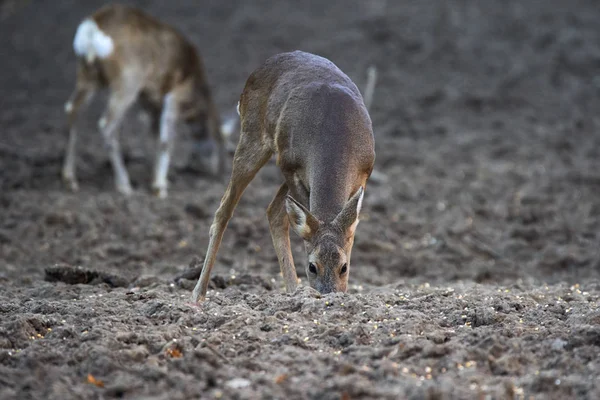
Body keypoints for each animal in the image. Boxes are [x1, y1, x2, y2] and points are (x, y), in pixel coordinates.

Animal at [62, 3, 227, 197]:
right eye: (221, 145)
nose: (219, 172)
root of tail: (92, 30)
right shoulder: (175, 94)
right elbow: (166, 140)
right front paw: (160, 187)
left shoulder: (151, 101)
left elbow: (154, 135)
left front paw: (158, 179)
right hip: (128, 80)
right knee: (107, 124)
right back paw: (124, 185)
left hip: (87, 75)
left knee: (72, 110)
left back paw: (70, 179)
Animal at [191, 50, 376, 302]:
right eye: (312, 267)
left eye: (344, 267)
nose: (328, 295)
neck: (335, 138)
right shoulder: (289, 165)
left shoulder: (363, 174)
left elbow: (347, 231)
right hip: (252, 140)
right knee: (225, 210)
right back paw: (197, 295)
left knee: (273, 211)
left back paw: (292, 291)